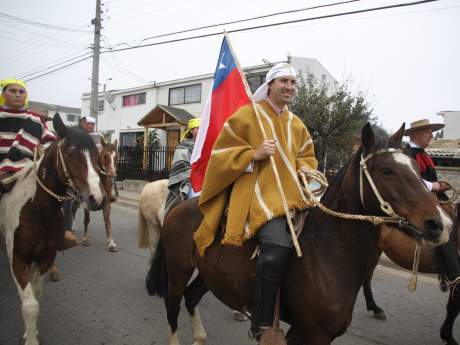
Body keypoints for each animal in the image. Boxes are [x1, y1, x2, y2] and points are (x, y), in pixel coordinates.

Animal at [0, 113, 105, 344]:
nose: (97, 199)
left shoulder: (46, 257)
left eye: (96, 156)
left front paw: (30, 331)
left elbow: (36, 294)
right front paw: (31, 338)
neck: (38, 210)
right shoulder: (17, 258)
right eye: (71, 153)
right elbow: (30, 305)